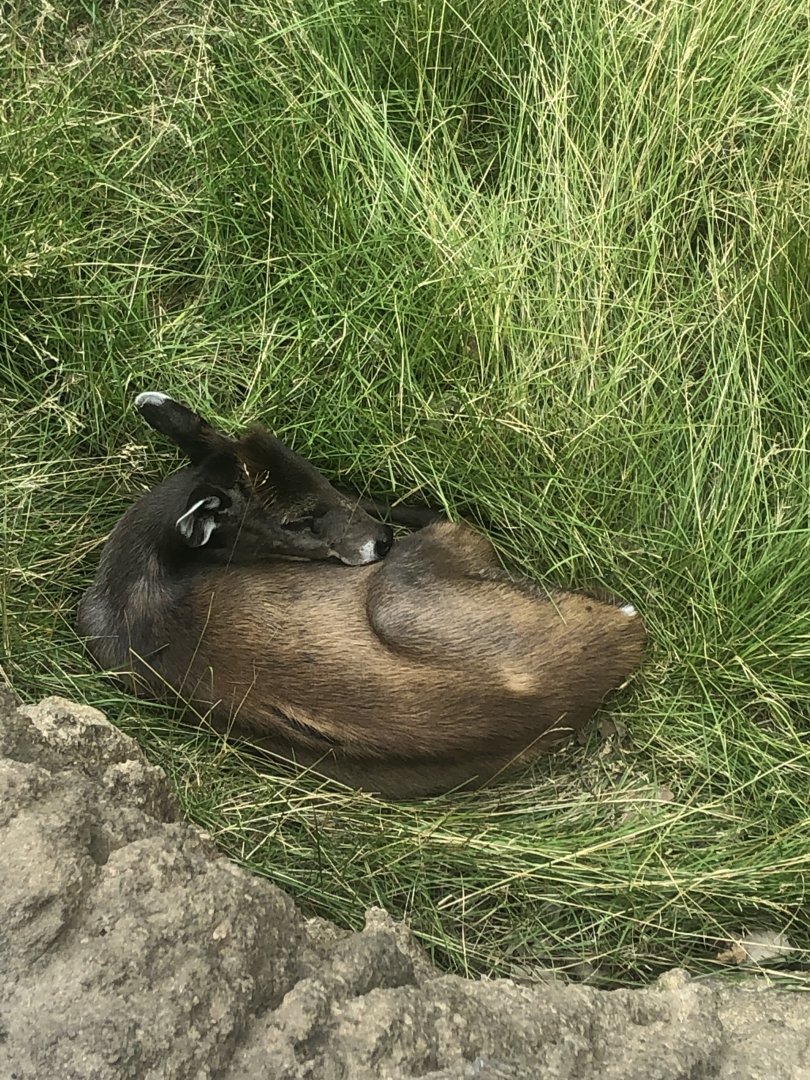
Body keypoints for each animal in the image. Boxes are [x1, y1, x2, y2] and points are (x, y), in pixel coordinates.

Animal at [77, 392, 647, 798]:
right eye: (296, 520)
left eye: (308, 464)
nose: (382, 540)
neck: (137, 580)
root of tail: (620, 640)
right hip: (410, 587)